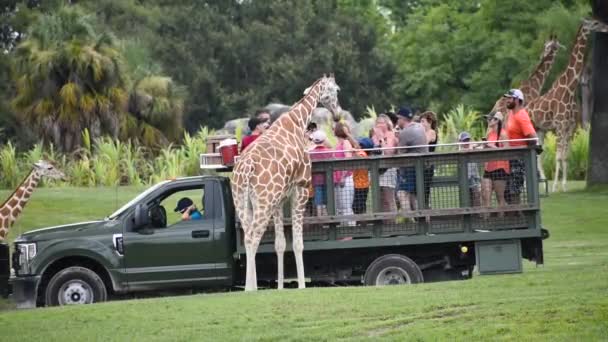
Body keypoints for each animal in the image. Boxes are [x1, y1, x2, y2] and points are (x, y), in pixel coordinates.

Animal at [232, 75, 340, 292]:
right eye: (336, 90)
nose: (337, 115)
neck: (297, 121)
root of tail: (245, 169)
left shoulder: (280, 199)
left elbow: (280, 243)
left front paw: (281, 287)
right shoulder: (301, 188)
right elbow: (298, 243)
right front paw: (301, 286)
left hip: (242, 201)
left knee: (248, 235)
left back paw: (251, 286)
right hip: (264, 201)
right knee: (253, 236)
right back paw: (250, 289)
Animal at [524, 18, 608, 192]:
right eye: (595, 23)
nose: (606, 27)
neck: (570, 87)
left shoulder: (570, 126)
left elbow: (565, 157)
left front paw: (564, 185)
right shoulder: (560, 126)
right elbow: (558, 156)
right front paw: (556, 186)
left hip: (540, 130)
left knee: (538, 154)